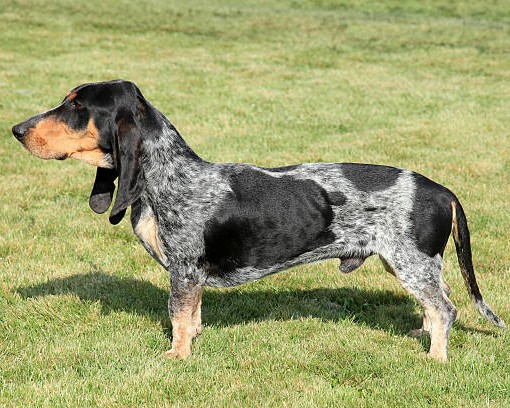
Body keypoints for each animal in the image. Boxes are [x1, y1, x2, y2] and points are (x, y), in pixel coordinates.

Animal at [10, 79, 502, 360]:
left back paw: (434, 359)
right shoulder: (191, 276)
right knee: (435, 307)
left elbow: (178, 317)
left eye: (76, 107)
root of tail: (442, 190)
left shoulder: (184, 270)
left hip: (412, 264)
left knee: (446, 309)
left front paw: (177, 358)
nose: (15, 130)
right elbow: (193, 316)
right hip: (411, 266)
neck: (167, 174)